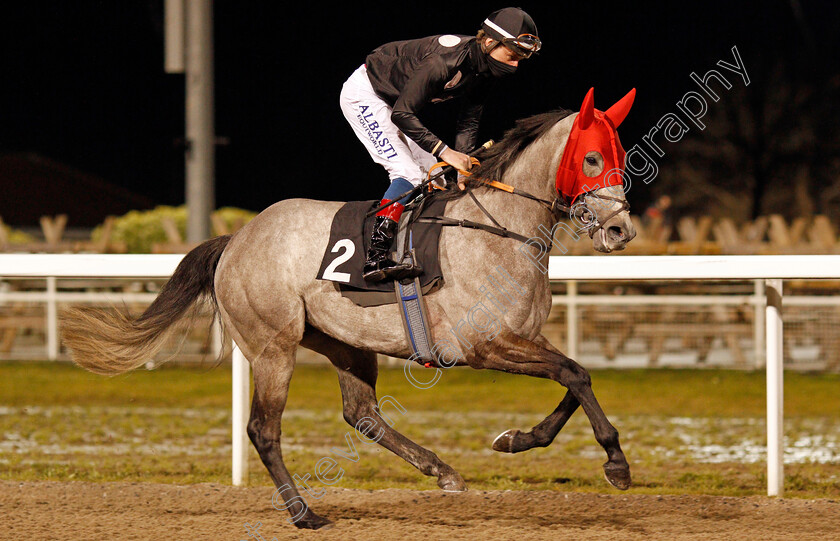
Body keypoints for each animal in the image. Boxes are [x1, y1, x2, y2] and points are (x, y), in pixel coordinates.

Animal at [62, 87, 636, 528]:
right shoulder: (486, 345)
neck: (499, 229)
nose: (620, 230)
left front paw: (517, 439)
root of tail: (238, 239)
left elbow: (573, 378)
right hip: (273, 346)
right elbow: (575, 374)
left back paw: (442, 471)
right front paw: (616, 462)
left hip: (346, 342)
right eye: (591, 159)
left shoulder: (524, 338)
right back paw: (304, 514)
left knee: (361, 415)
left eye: (620, 156)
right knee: (263, 430)